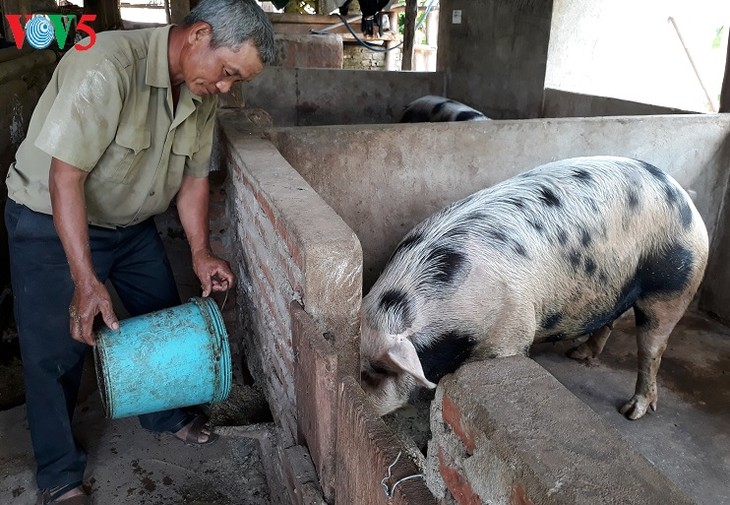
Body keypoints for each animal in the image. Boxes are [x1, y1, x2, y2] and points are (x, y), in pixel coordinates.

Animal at [362, 156, 708, 420]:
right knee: (609, 319)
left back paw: (632, 411)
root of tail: (684, 195)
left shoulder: (512, 330)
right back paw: (578, 354)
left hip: (674, 285)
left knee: (652, 349)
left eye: (378, 370)